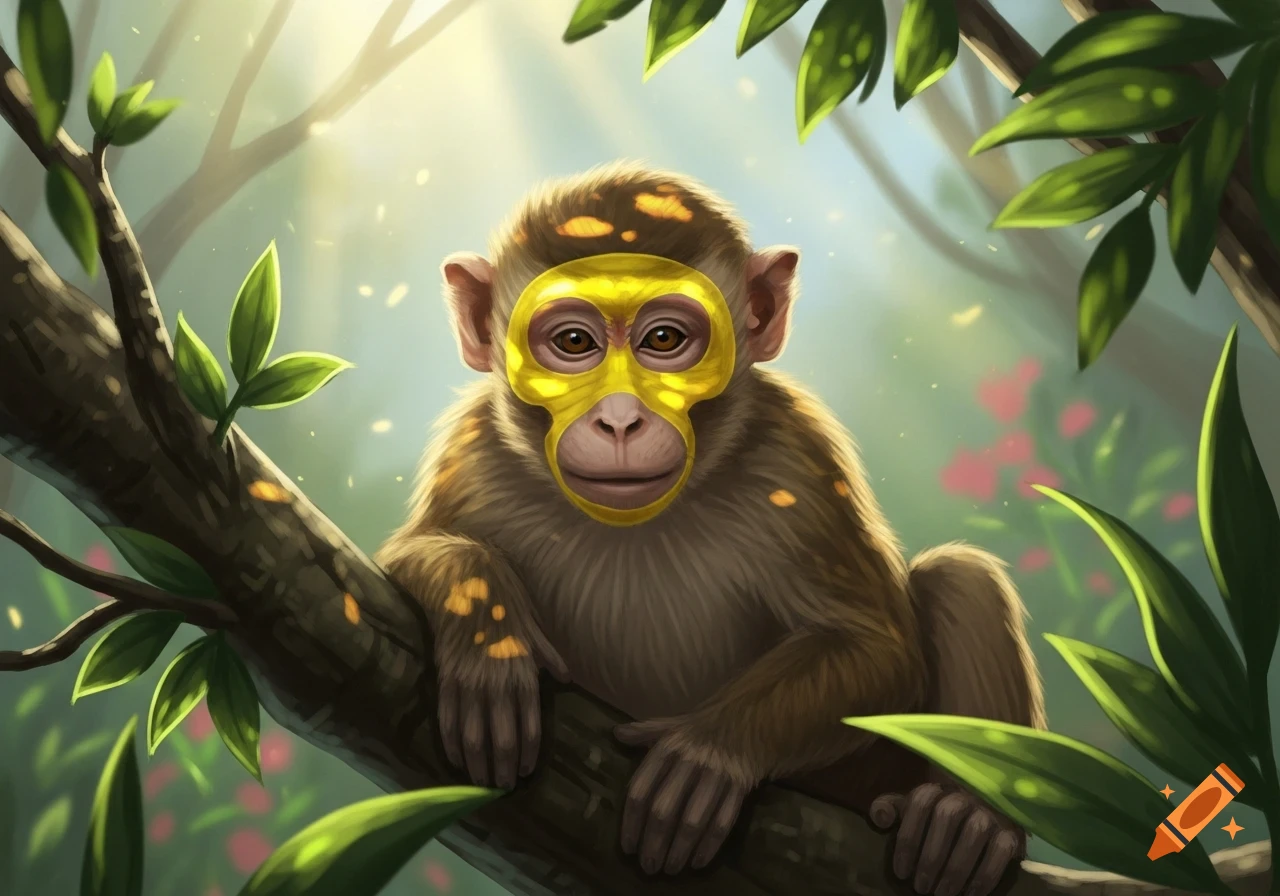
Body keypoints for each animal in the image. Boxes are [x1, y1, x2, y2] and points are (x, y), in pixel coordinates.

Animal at [375, 161, 1046, 896]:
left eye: (665, 340)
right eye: (573, 343)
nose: (619, 419)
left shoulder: (797, 459)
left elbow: (878, 647)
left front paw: (709, 752)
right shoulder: (474, 449)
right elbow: (407, 552)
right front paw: (488, 634)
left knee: (961, 576)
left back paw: (968, 820)